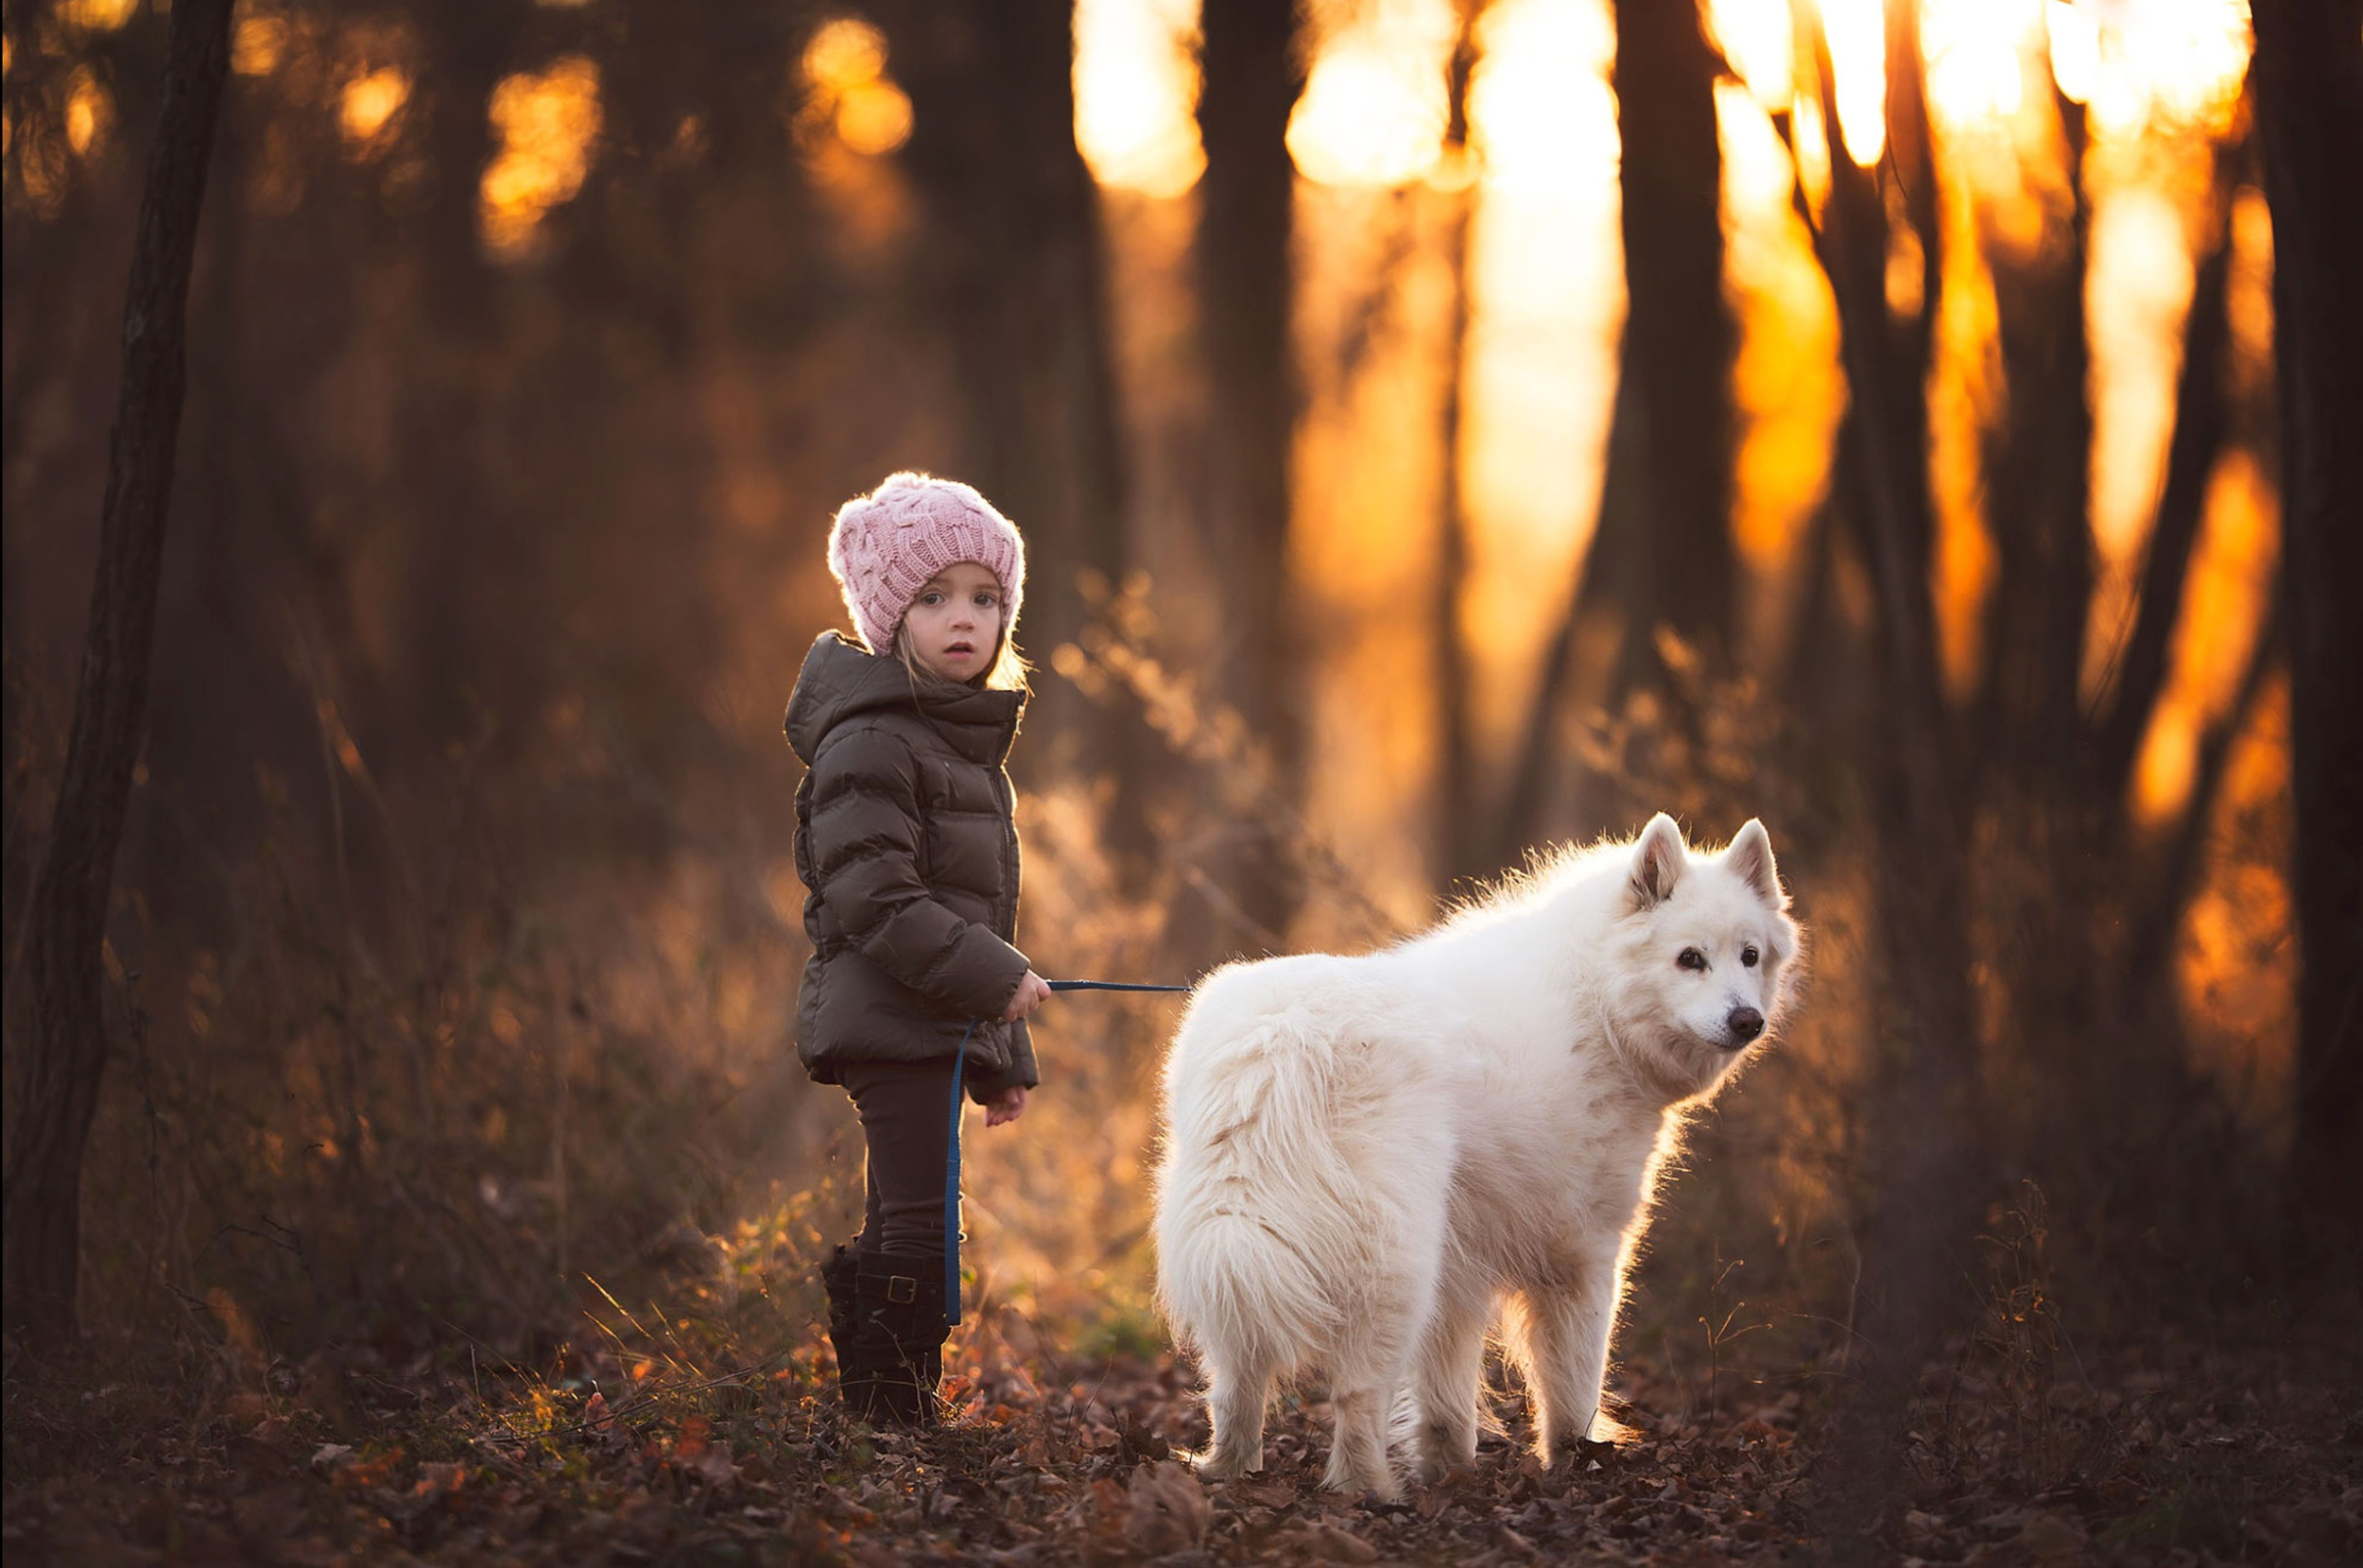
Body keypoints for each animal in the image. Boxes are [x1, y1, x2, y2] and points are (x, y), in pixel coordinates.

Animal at [1153, 812, 1796, 1502]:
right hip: (1392, 1267)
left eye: (1750, 955)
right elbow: (1573, 1390)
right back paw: (1372, 1492)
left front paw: (1452, 1471)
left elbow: (1446, 1399)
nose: (1747, 1020)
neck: (1595, 1000)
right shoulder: (1583, 1256)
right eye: (1689, 958)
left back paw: (1230, 1472)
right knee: (1356, 1396)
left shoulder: (1461, 1269)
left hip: (1241, 1249)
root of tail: (1275, 1039)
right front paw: (1578, 1468)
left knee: (1236, 1385)